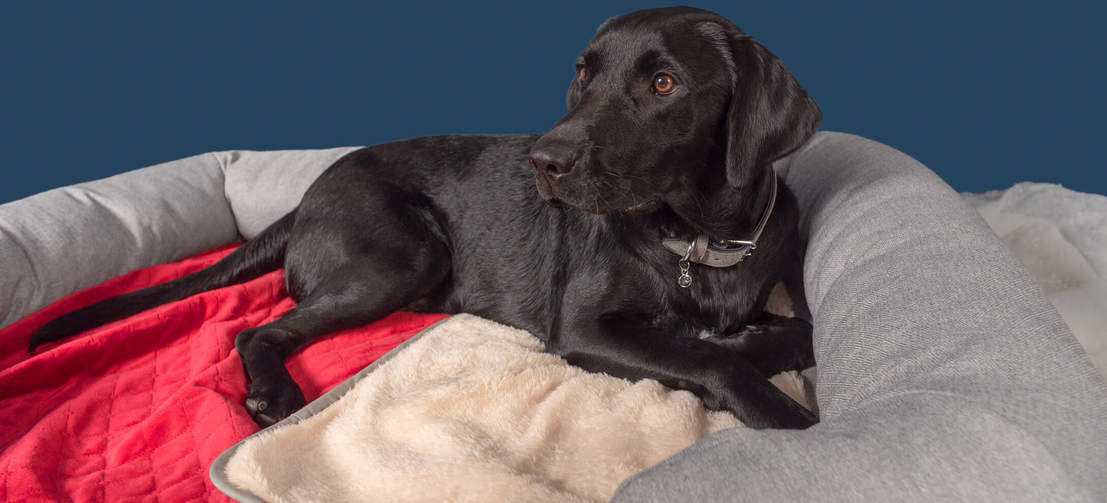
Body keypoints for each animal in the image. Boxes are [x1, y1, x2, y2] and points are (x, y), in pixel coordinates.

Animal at [28, 6, 823, 427]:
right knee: (258, 329)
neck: (696, 238)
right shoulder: (583, 328)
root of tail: (307, 194)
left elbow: (791, 332)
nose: (544, 161)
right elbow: (705, 354)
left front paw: (754, 340)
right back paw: (275, 392)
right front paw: (786, 416)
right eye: (582, 75)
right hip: (403, 253)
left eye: (663, 84)